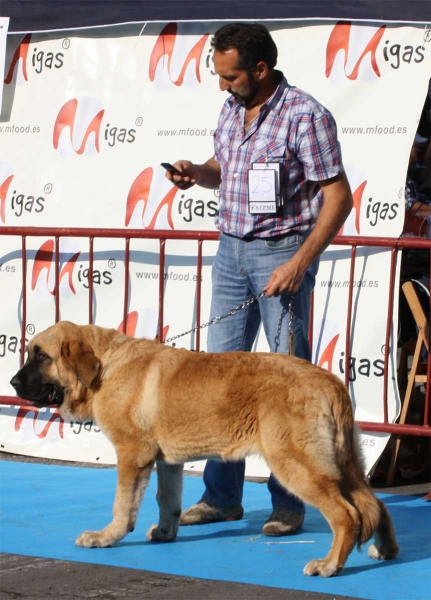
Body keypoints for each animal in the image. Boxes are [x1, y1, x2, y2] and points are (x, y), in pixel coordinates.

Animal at [10, 322, 400, 576]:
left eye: (41, 356)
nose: (12, 382)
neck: (104, 368)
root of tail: (330, 382)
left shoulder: (132, 456)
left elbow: (123, 507)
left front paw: (106, 537)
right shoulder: (167, 463)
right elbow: (167, 502)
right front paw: (166, 534)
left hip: (297, 466)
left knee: (347, 515)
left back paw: (330, 565)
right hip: (344, 465)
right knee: (376, 505)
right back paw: (386, 550)